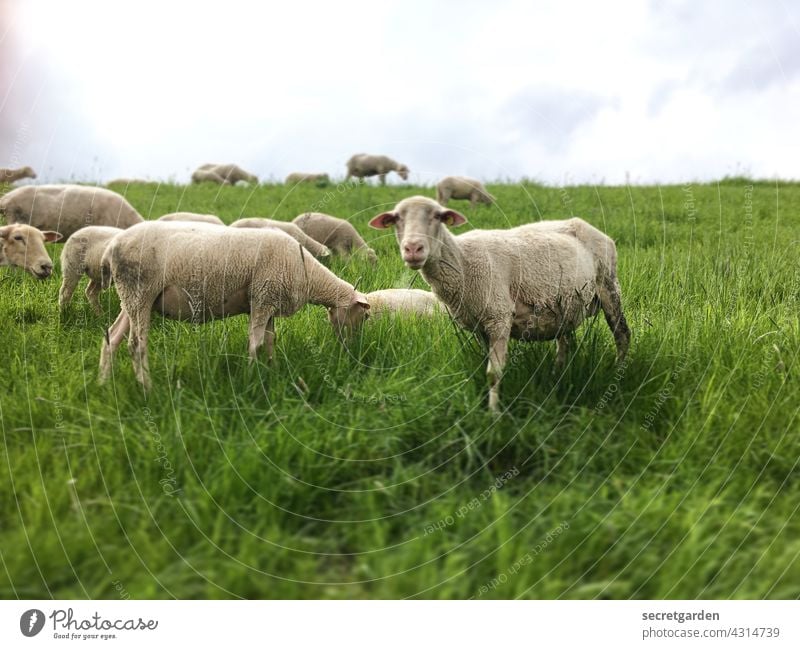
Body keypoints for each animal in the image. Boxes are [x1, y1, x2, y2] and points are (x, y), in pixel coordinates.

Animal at [97, 220, 368, 388]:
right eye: (364, 316)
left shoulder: (269, 302)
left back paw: (104, 383)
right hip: (139, 291)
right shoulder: (262, 298)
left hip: (130, 298)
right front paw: (250, 377)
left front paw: (273, 370)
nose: (352, 350)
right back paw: (148, 389)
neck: (309, 274)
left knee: (112, 336)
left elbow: (270, 340)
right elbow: (255, 342)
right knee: (136, 345)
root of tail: (110, 248)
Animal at [368, 195, 632, 412]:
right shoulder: (479, 326)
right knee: (564, 342)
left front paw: (494, 415)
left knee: (622, 334)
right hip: (563, 304)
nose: (413, 248)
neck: (462, 261)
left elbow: (493, 374)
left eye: (437, 216)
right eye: (396, 219)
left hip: (609, 285)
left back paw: (616, 376)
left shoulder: (499, 316)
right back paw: (558, 375)